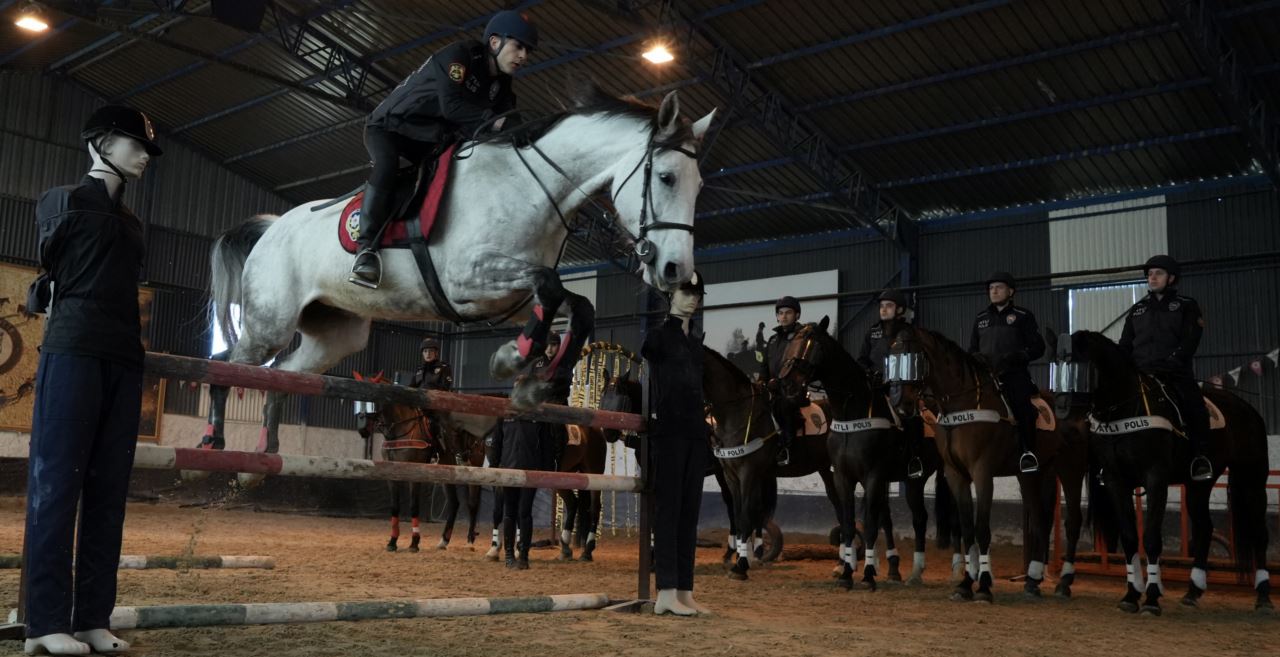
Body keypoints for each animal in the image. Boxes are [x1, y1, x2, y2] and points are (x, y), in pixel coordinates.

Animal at [204, 83, 716, 455]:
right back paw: (214, 441)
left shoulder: (507, 298)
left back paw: (262, 457)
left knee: (282, 375)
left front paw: (532, 378)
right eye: (666, 177)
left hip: (335, 333)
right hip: (270, 321)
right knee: (230, 363)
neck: (532, 186)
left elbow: (577, 308)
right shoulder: (469, 279)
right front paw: (511, 361)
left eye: (698, 187)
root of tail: (272, 228)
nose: (675, 270)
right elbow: (551, 287)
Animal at [773, 317, 957, 589]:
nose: (787, 384)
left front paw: (868, 574)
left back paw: (932, 571)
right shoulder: (844, 476)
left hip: (917, 479)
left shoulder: (873, 475)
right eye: (790, 345)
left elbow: (870, 524)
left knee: (923, 519)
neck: (853, 412)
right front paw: (847, 574)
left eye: (812, 345)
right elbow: (849, 523)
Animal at [885, 325, 1064, 601]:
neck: (962, 403)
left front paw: (985, 585)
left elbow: (982, 529)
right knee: (1037, 518)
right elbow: (968, 527)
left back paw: (1034, 580)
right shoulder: (956, 474)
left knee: (1043, 520)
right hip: (1025, 475)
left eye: (912, 360)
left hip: (1046, 470)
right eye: (892, 360)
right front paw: (966, 583)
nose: (900, 404)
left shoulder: (982, 472)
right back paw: (1032, 581)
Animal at [1059, 330, 1269, 612]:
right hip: (1199, 485)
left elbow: (1150, 538)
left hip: (1252, 478)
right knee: (1205, 528)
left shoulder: (1155, 477)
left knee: (1259, 532)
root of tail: (1248, 409)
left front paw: (1151, 597)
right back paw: (1193, 592)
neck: (1126, 407)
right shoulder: (1116, 481)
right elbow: (1129, 537)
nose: (1065, 420)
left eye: (1081, 369)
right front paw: (1131, 595)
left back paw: (1263, 597)